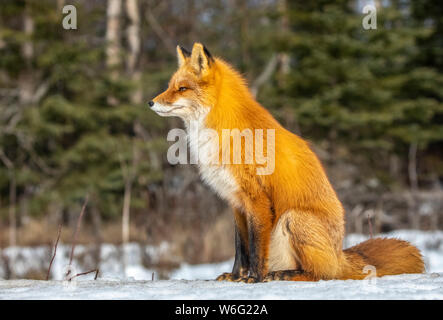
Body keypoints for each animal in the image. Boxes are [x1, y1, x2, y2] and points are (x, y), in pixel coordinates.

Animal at [150, 42, 426, 282]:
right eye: (170, 86)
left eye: (182, 89)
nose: (150, 102)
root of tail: (340, 256)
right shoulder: (236, 202)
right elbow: (241, 248)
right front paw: (236, 276)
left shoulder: (257, 200)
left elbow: (256, 248)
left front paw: (254, 278)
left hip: (294, 219)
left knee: (321, 275)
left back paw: (284, 275)